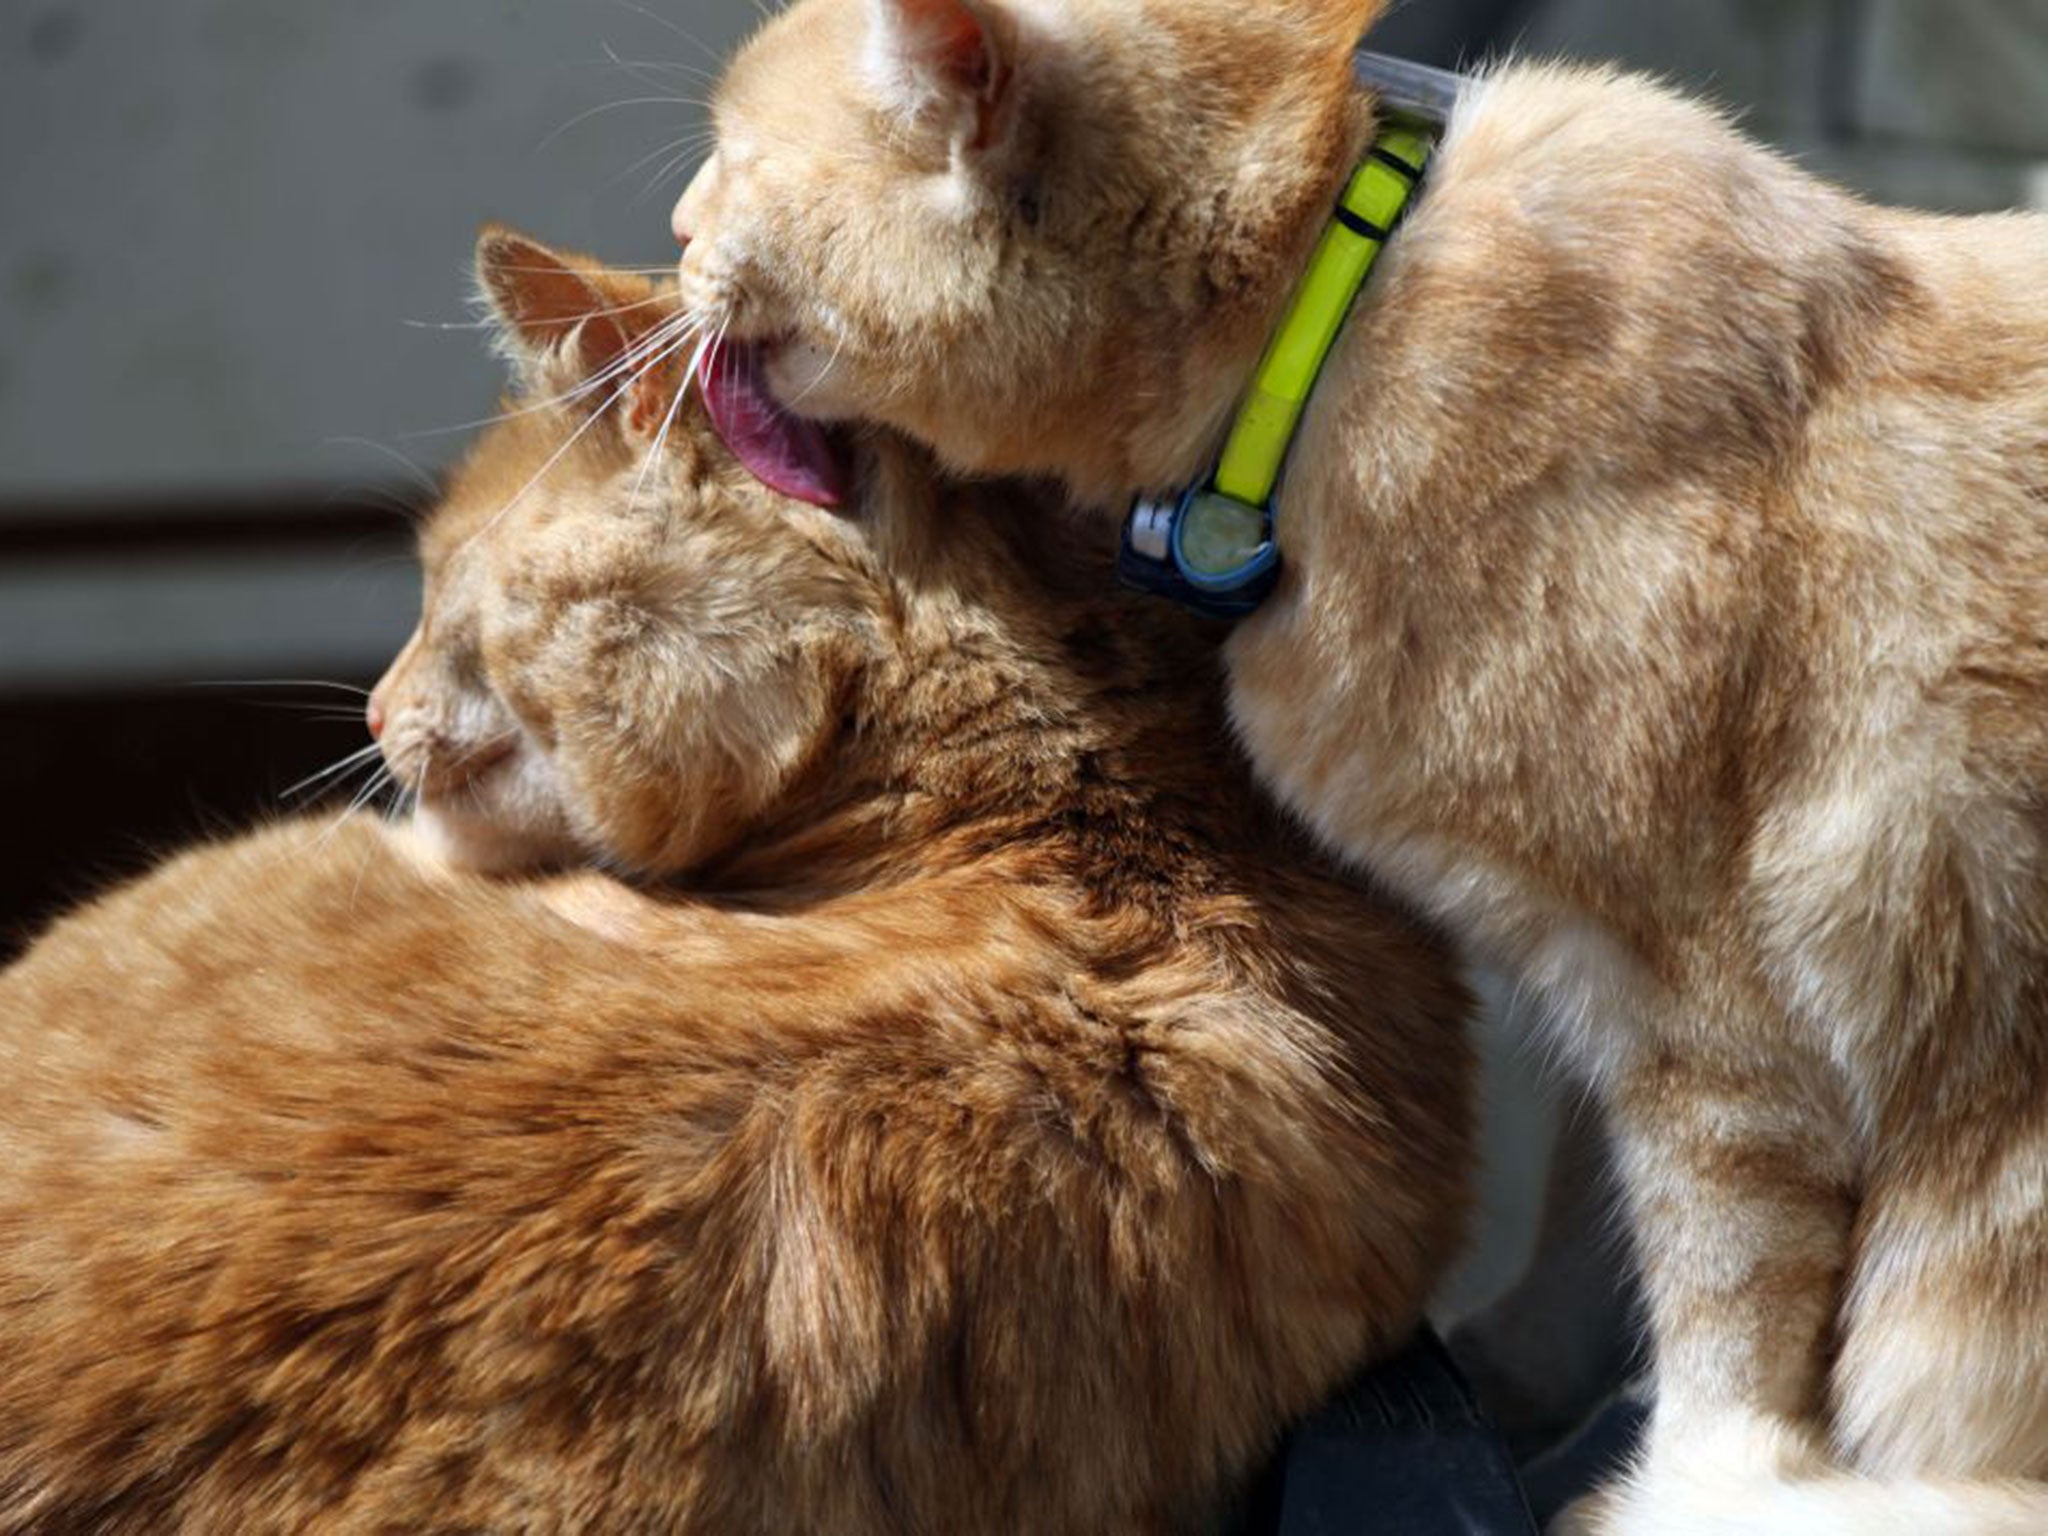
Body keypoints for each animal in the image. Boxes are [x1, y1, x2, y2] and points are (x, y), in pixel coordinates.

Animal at [679, 3, 2048, 1536]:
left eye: (733, 162)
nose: (671, 234)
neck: (1333, 330)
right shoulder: (1608, 1020)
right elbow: (1581, 1276)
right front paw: (1520, 1407)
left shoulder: (1710, 1018)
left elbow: (1721, 1312)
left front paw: (1684, 1495)